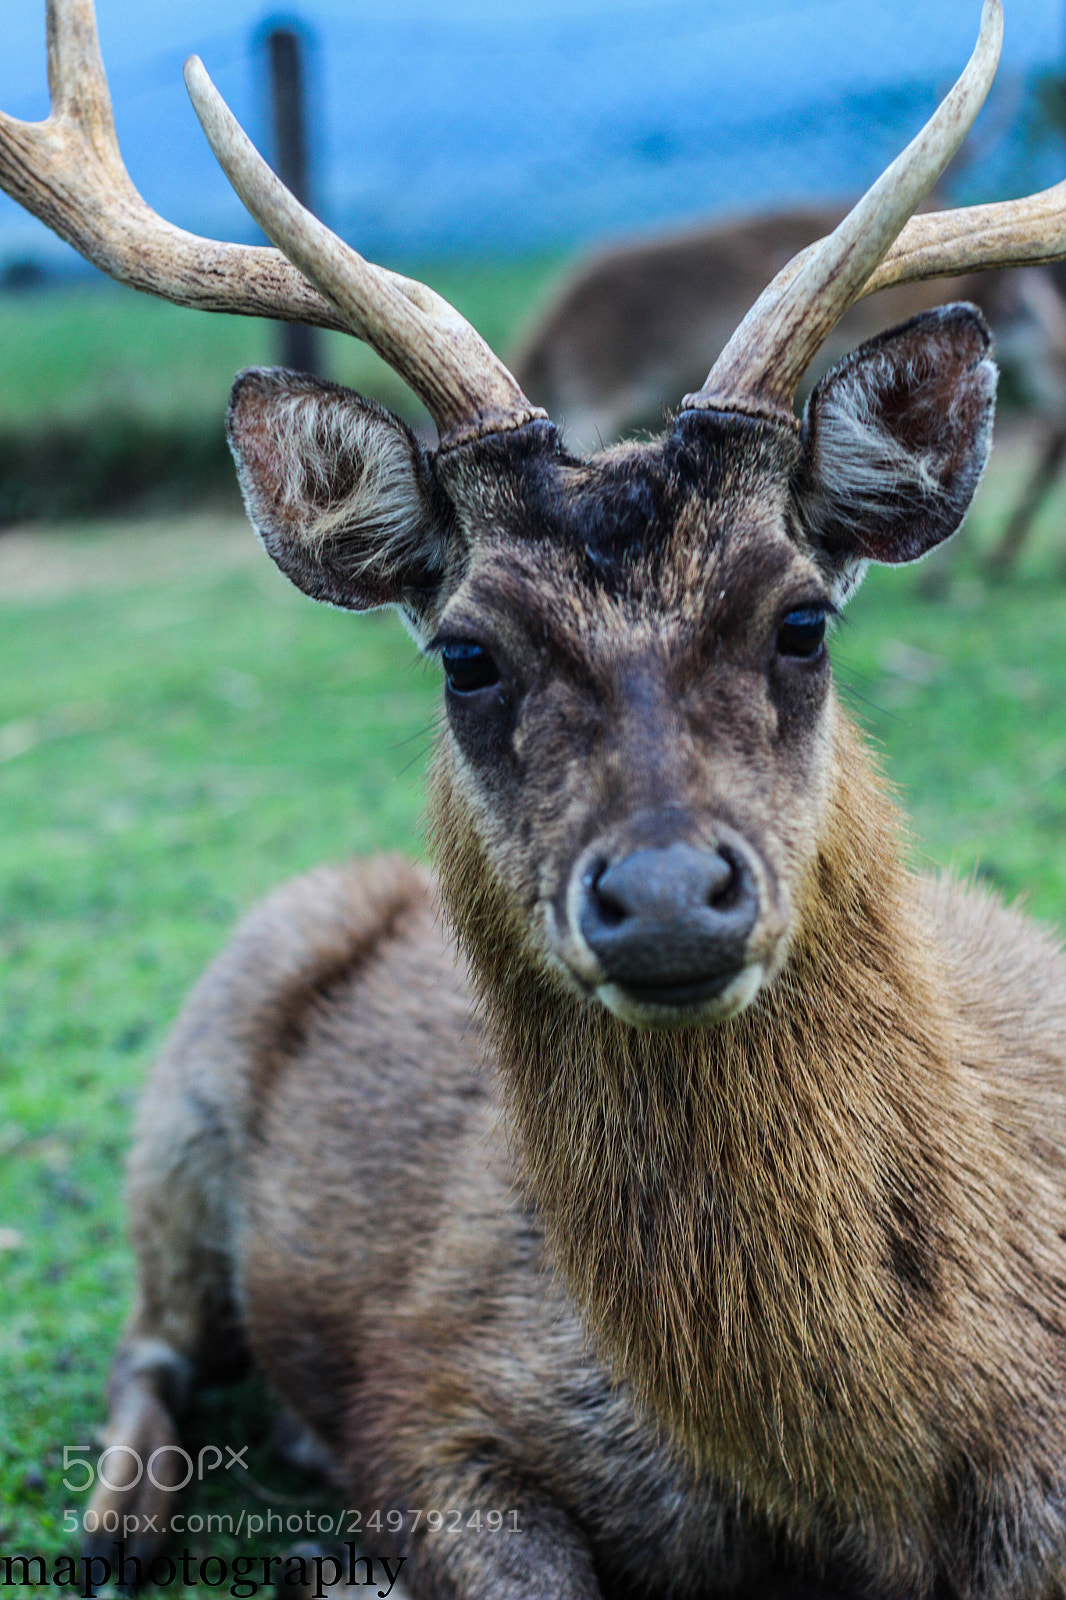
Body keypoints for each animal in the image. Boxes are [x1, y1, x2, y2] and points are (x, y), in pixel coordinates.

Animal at [7, 2, 1066, 1596]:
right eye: (467, 652)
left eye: (801, 620)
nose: (668, 894)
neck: (850, 1473)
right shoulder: (436, 1391)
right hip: (192, 1076)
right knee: (153, 1341)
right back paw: (123, 1526)